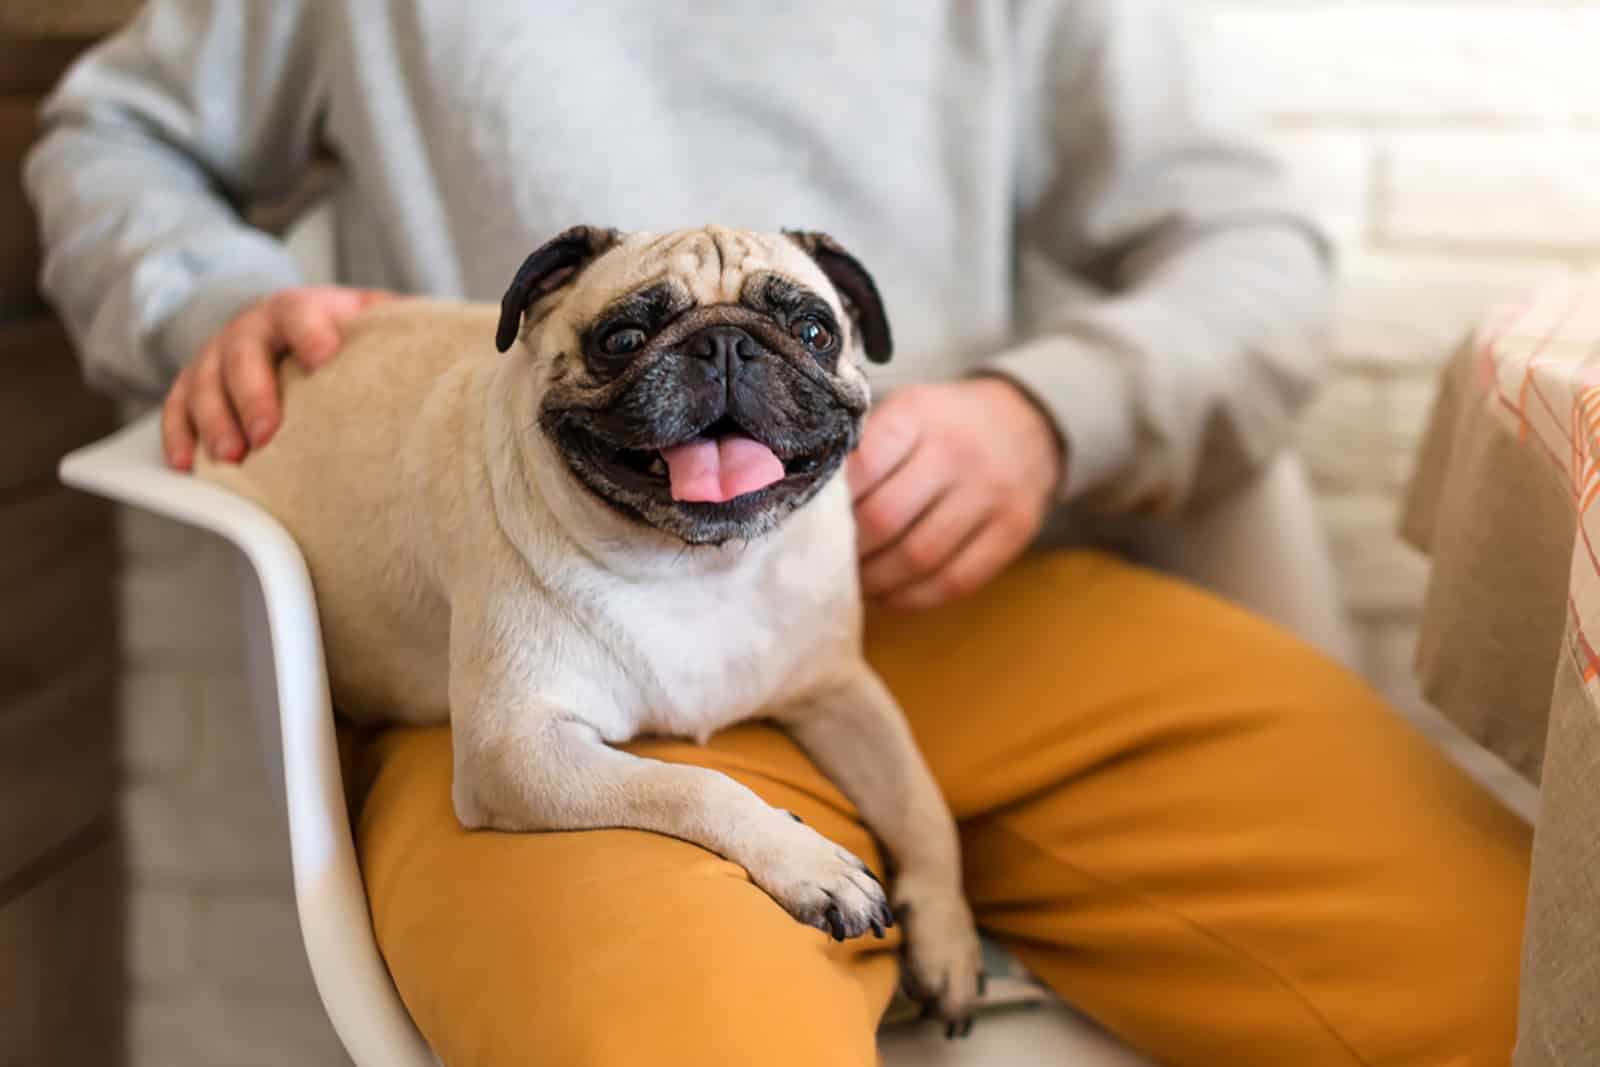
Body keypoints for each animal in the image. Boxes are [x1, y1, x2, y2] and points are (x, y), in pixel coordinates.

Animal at [193, 225, 979, 1036]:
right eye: (623, 338)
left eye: (816, 332)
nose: (726, 344)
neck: (700, 566)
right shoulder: (515, 748)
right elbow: (695, 785)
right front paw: (808, 859)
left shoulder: (838, 689)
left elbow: (920, 802)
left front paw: (947, 936)